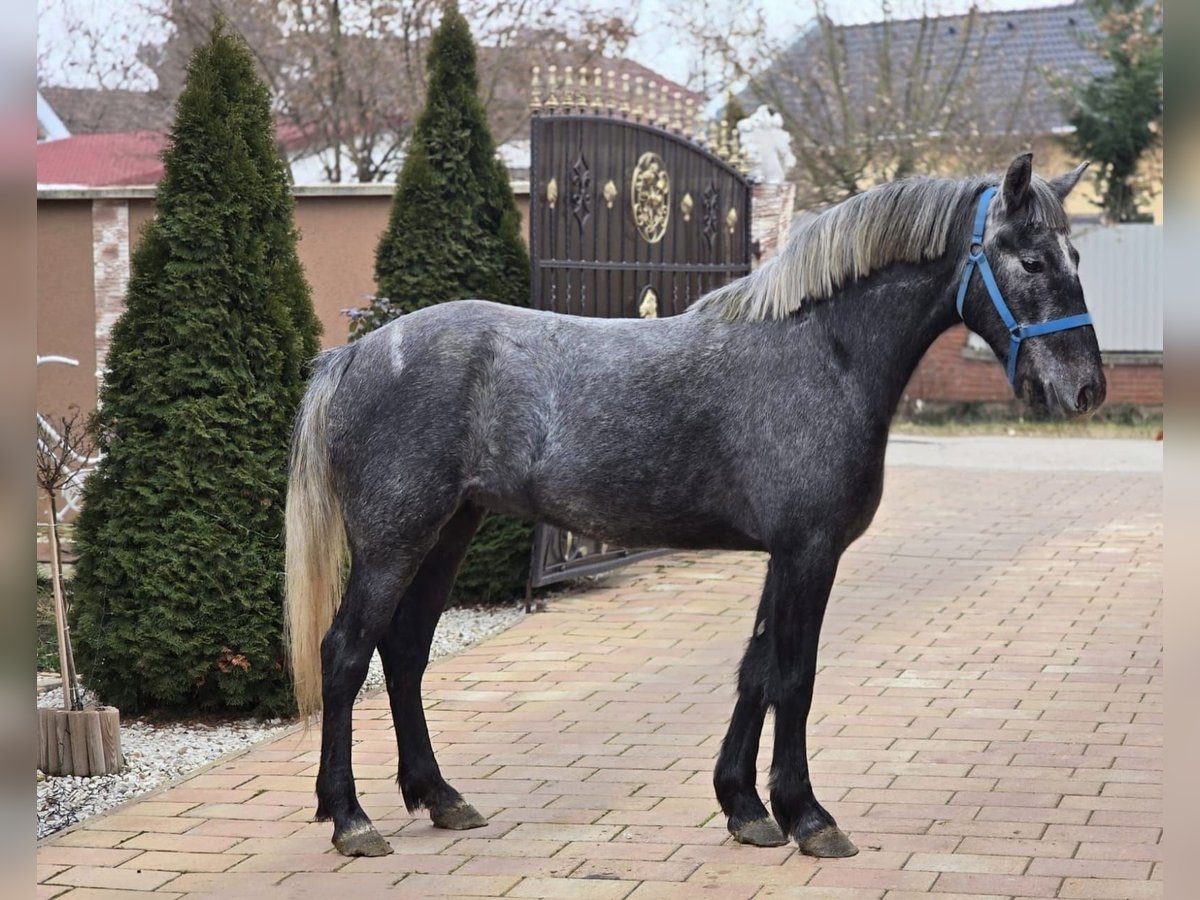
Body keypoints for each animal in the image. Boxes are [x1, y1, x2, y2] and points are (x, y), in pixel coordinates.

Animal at [285, 154, 1099, 859]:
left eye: (1076, 259)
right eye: (1031, 262)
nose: (1086, 389)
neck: (823, 350)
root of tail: (355, 353)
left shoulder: (787, 553)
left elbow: (757, 670)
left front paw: (745, 807)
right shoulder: (809, 552)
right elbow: (794, 676)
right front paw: (809, 817)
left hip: (449, 531)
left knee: (405, 652)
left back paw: (440, 797)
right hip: (395, 543)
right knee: (346, 654)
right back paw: (351, 818)